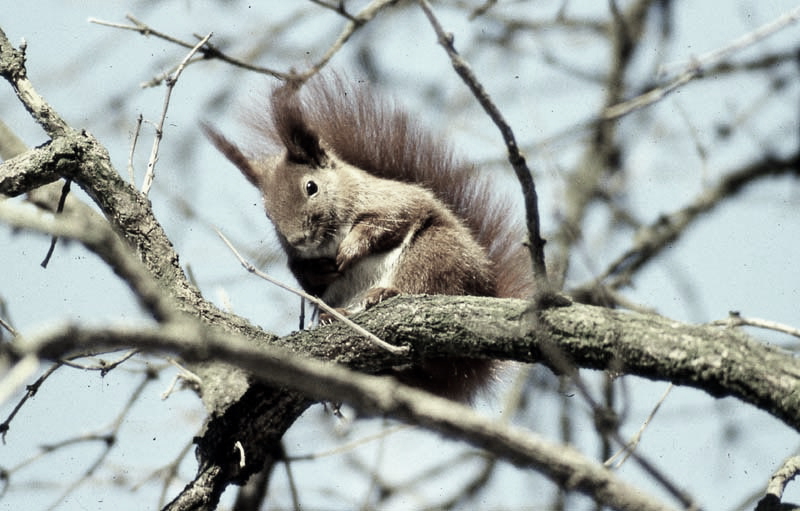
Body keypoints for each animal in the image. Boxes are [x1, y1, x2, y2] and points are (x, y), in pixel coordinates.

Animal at [203, 75, 536, 404]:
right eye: (268, 213)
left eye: (311, 187)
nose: (299, 239)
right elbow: (305, 277)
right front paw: (319, 269)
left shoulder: (392, 201)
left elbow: (385, 222)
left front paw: (350, 249)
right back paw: (333, 316)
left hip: (434, 253)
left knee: (422, 283)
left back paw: (383, 293)